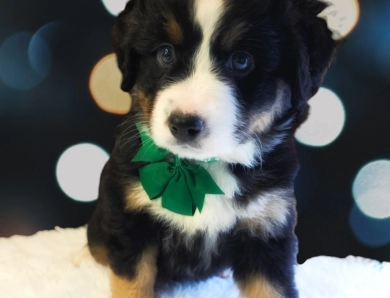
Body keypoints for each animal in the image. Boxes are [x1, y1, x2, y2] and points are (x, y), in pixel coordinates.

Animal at [87, 0, 336, 298]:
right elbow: (132, 283)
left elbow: (270, 288)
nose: (183, 125)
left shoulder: (267, 227)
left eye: (242, 60)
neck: (202, 170)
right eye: (165, 53)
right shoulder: (130, 218)